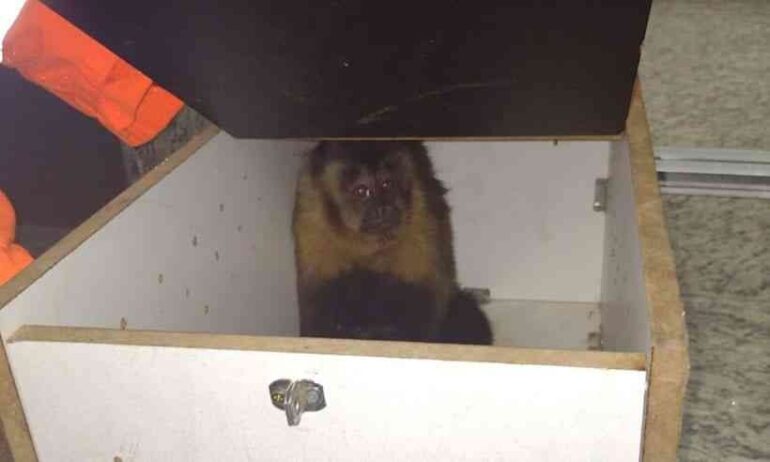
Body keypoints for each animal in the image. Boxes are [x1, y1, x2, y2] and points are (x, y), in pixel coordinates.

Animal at [291, 140, 492, 345]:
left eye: (386, 184)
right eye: (362, 191)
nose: (383, 208)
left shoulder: (422, 209)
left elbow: (426, 291)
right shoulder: (312, 215)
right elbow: (317, 291)